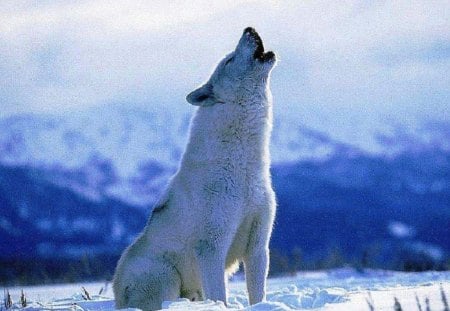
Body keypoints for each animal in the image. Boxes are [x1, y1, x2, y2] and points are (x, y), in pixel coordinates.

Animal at [114, 27, 276, 311]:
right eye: (229, 60)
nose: (249, 29)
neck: (243, 170)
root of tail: (116, 295)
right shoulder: (211, 247)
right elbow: (220, 295)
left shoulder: (258, 245)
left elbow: (258, 293)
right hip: (166, 277)